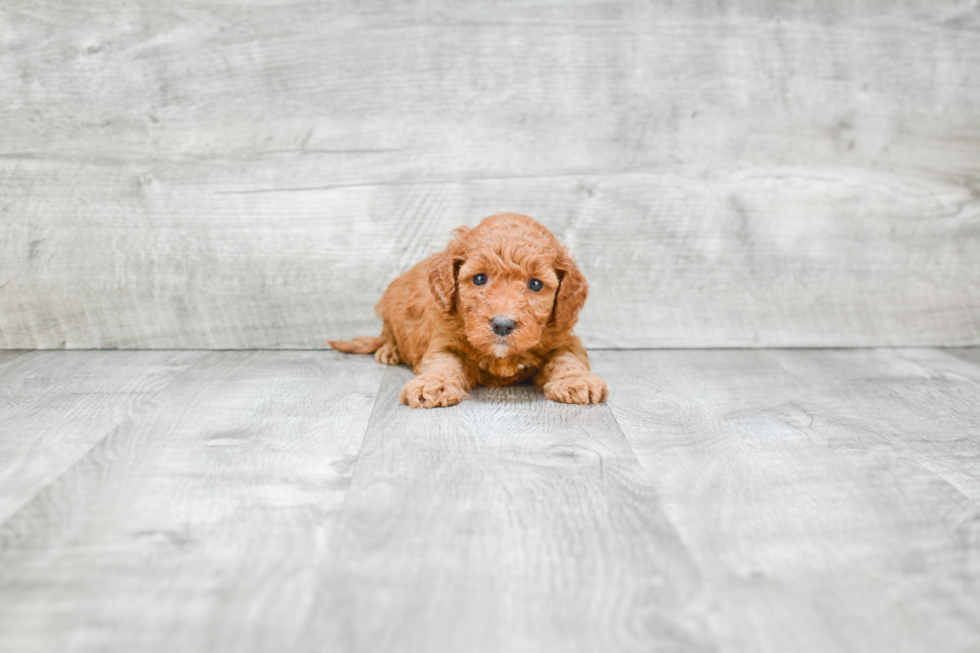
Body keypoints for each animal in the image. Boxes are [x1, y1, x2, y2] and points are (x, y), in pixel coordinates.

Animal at [330, 213, 604, 408]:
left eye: (535, 284)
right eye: (480, 279)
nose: (502, 325)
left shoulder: (565, 339)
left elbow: (567, 359)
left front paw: (577, 380)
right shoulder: (442, 340)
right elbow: (443, 362)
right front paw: (433, 385)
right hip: (389, 308)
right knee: (387, 334)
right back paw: (389, 351)